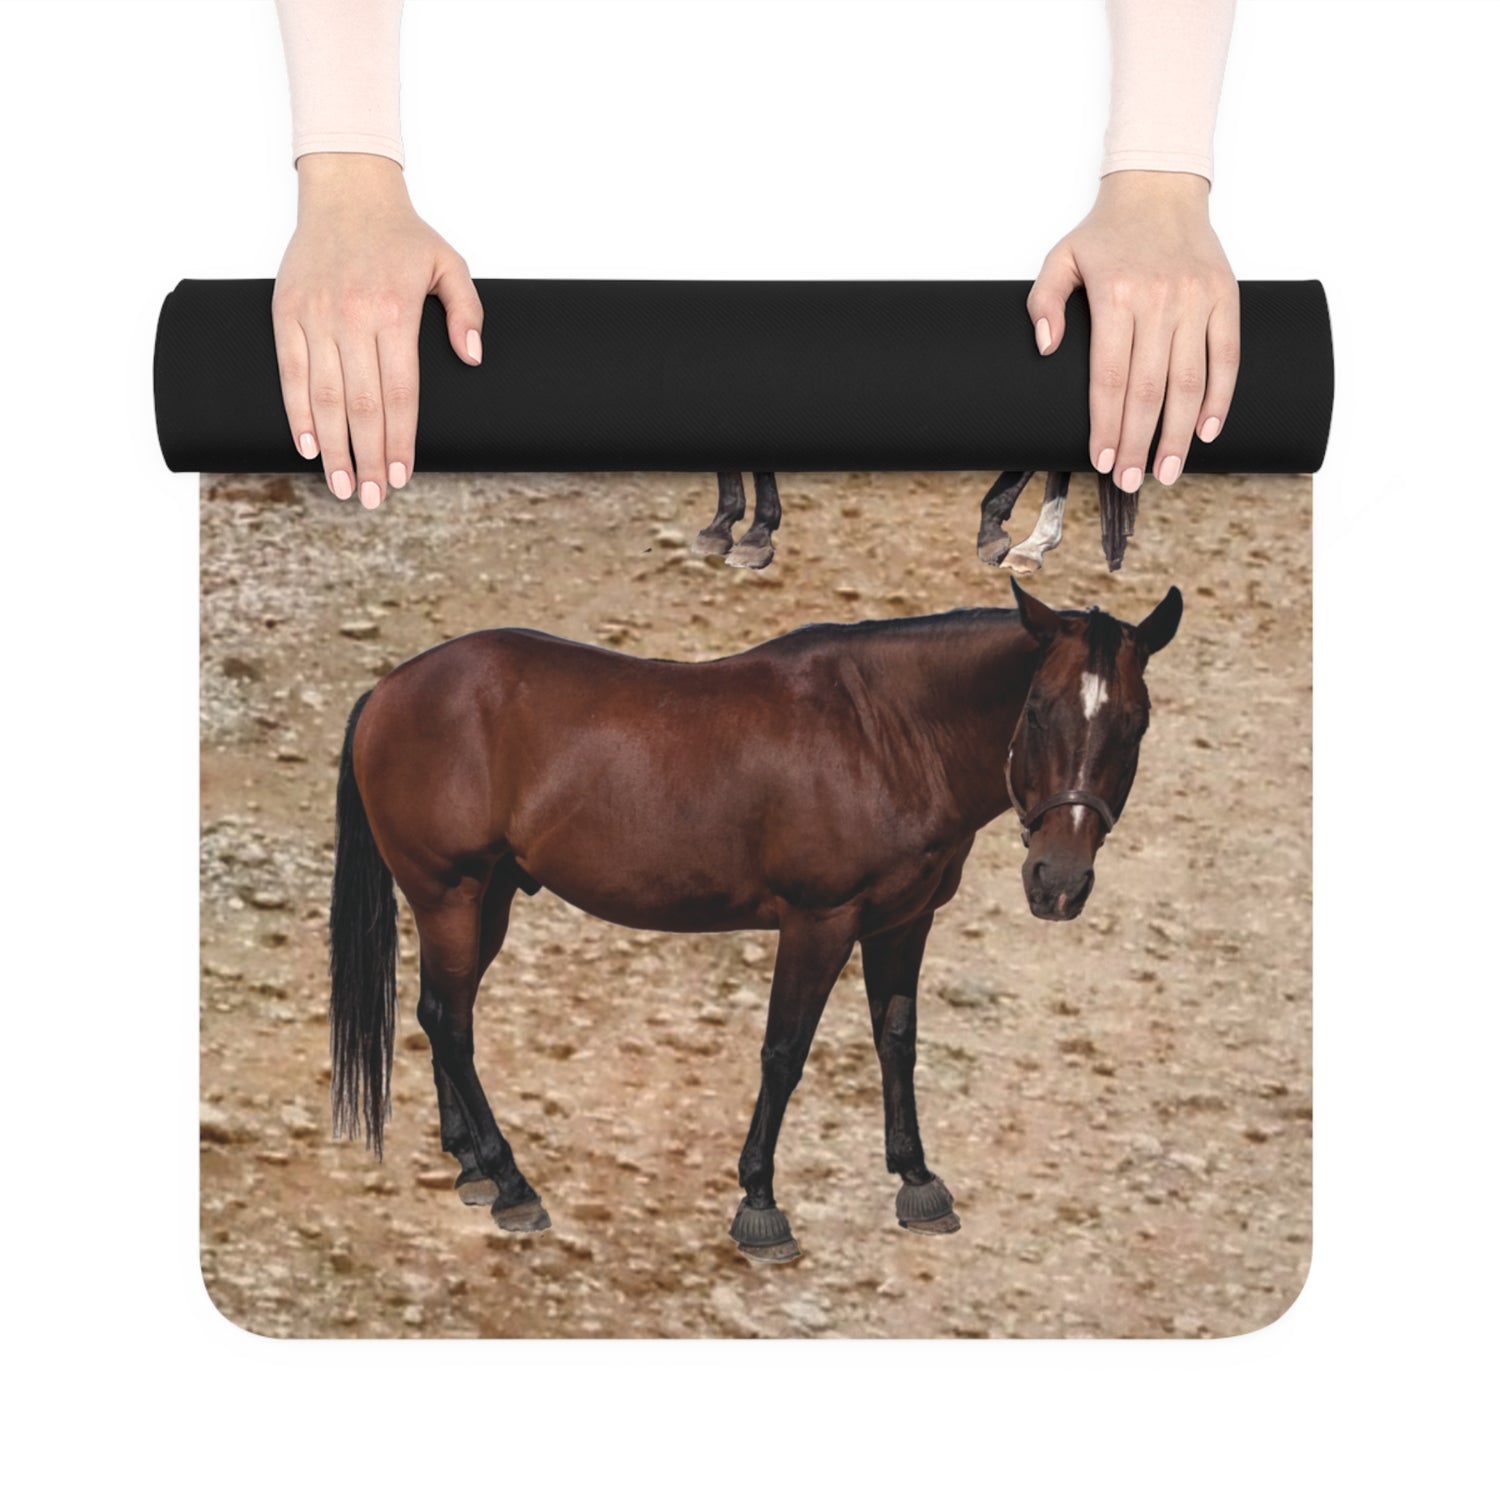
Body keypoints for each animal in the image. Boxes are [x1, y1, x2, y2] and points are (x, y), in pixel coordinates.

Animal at [328, 579, 1182, 1262]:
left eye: (1136, 722)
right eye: (1035, 710)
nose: (1057, 882)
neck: (886, 733)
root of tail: (386, 692)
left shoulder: (903, 924)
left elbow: (897, 1043)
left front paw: (917, 1183)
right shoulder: (819, 922)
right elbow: (784, 1052)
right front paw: (760, 1206)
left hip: (489, 898)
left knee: (443, 1014)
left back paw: (472, 1166)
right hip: (450, 893)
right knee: (450, 1021)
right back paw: (512, 1184)